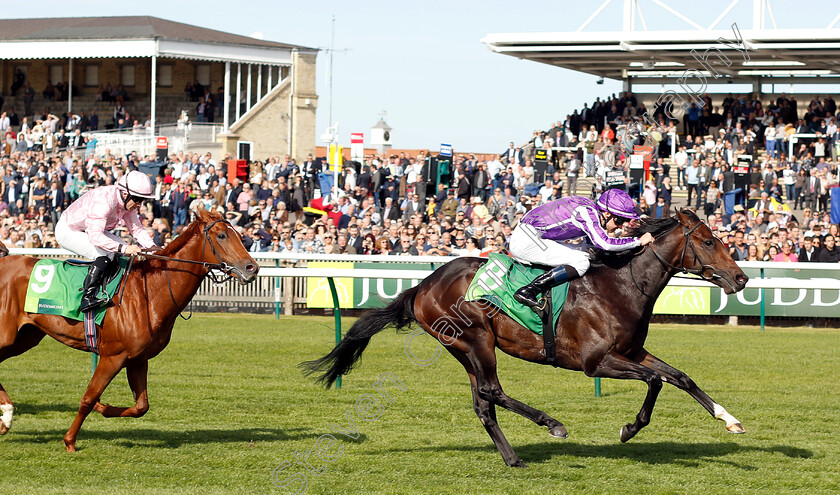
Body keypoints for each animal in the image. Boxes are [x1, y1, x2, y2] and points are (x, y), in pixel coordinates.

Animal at [0, 203, 258, 452]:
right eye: (222, 235)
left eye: (239, 235)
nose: (252, 268)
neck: (149, 290)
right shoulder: (112, 356)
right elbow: (88, 398)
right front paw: (70, 441)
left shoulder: (138, 359)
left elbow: (141, 406)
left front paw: (103, 408)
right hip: (8, 336)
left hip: (24, 338)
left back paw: (6, 417)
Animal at [306, 209, 752, 468]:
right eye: (708, 241)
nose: (742, 278)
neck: (622, 284)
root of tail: (422, 287)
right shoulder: (595, 362)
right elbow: (657, 380)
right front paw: (629, 428)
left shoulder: (632, 351)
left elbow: (679, 377)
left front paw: (729, 419)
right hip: (475, 340)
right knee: (492, 391)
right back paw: (551, 424)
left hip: (463, 350)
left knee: (483, 404)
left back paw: (513, 458)